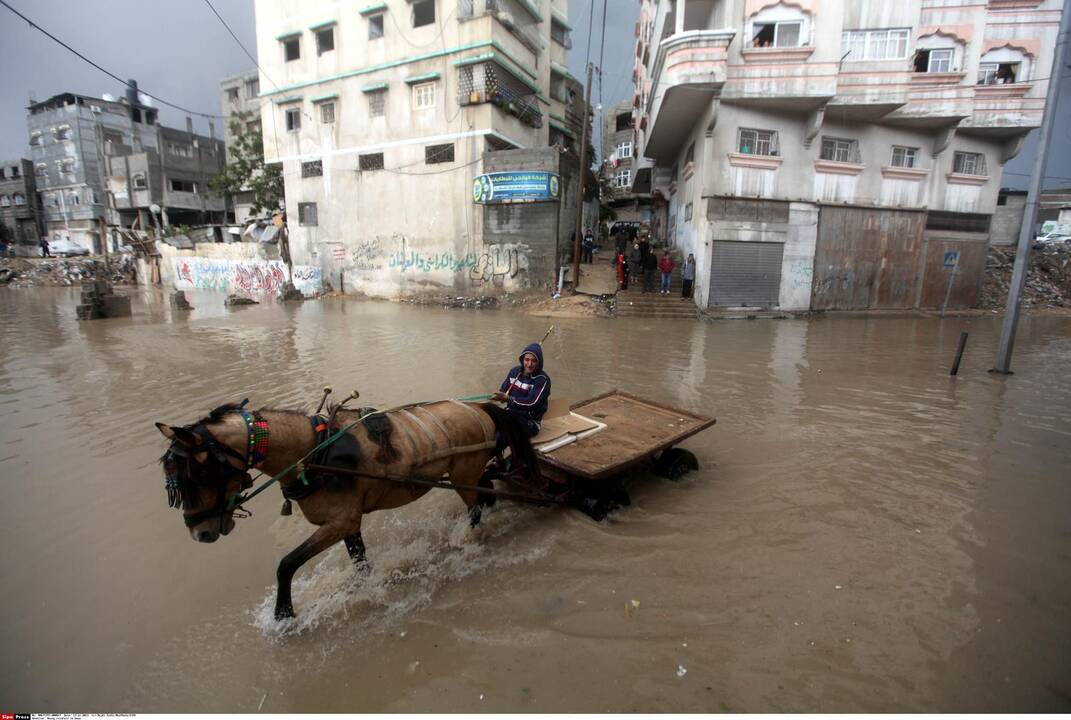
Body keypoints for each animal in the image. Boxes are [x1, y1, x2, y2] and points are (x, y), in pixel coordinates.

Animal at [156, 396, 544, 621]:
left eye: (198, 473)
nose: (200, 532)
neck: (313, 451)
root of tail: (481, 407)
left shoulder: (339, 522)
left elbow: (287, 564)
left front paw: (283, 613)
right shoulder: (348, 521)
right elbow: (359, 560)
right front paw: (363, 588)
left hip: (464, 474)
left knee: (476, 507)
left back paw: (465, 539)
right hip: (470, 473)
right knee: (486, 492)